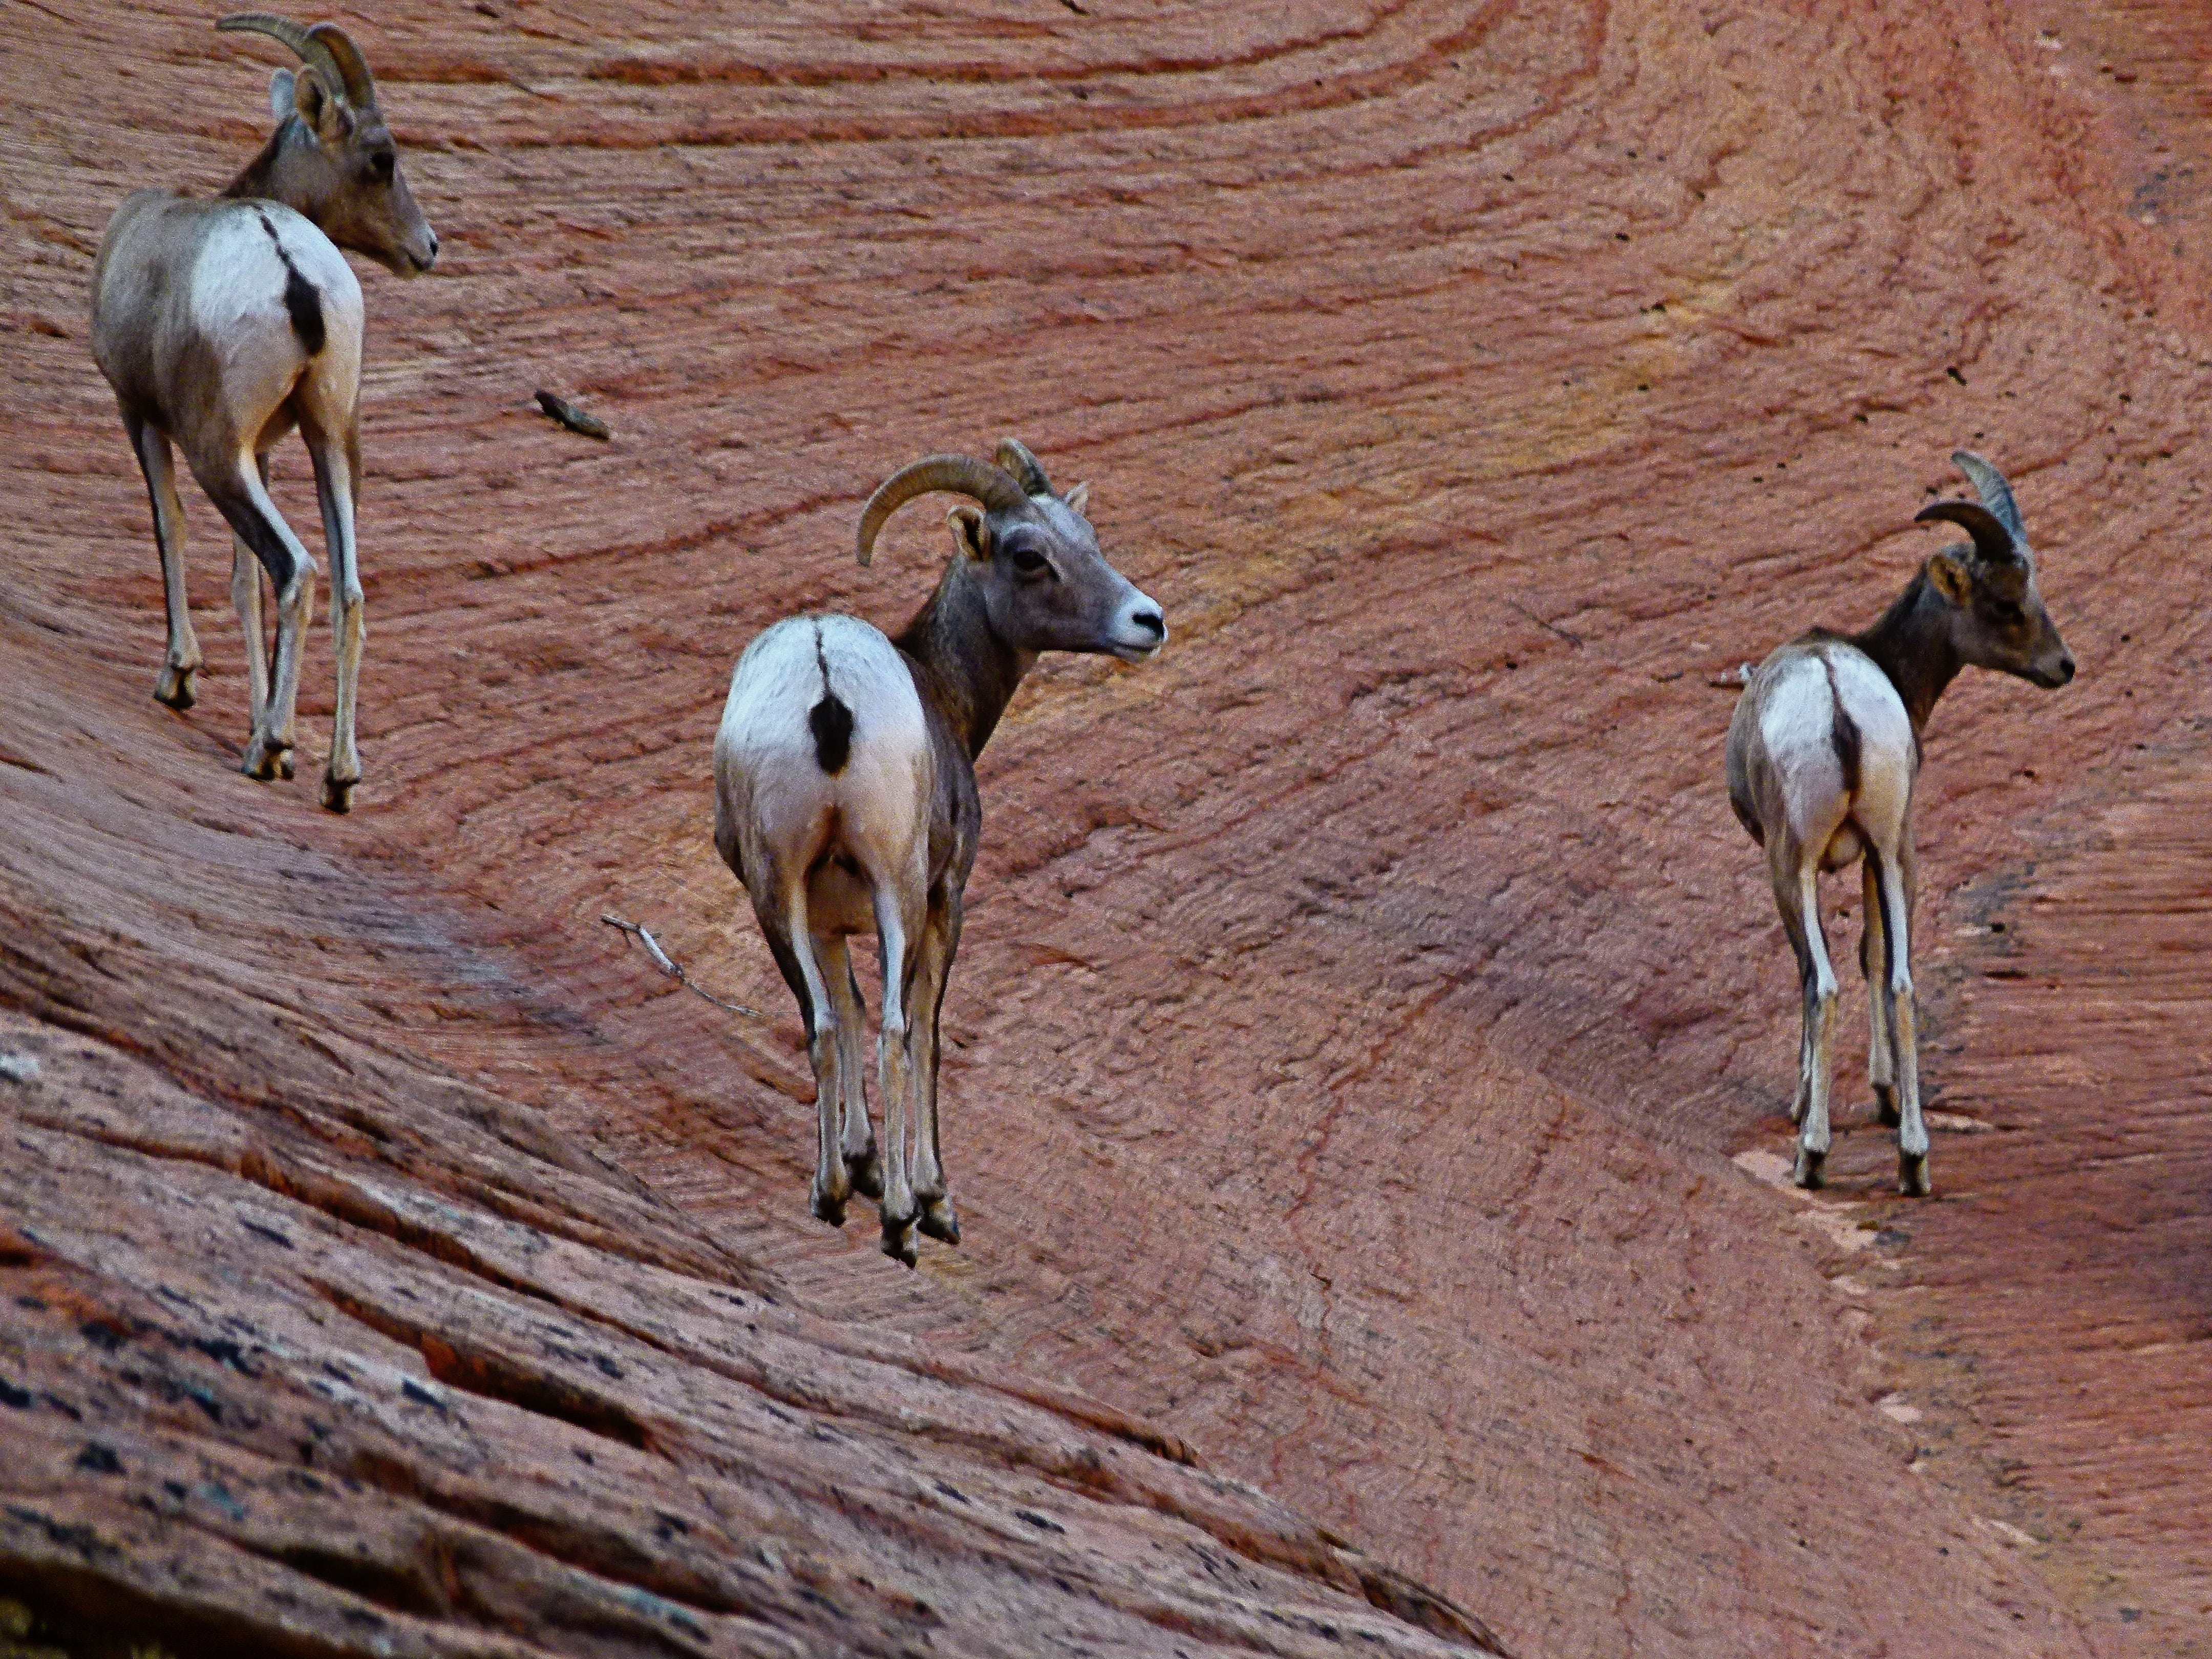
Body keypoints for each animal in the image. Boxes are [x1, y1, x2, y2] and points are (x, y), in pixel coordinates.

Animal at [90, 14, 437, 812]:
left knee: (298, 569)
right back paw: (337, 777)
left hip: (218, 455)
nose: (428, 248)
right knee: (347, 588)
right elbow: (244, 585)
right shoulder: (271, 447)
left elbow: (172, 529)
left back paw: (269, 747)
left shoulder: (141, 415)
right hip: (332, 441)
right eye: (382, 160)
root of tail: (291, 272)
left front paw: (180, 679)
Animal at [714, 441, 1167, 1264]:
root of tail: (825, 676)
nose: (1147, 621)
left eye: (1090, 540)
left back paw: (829, 1195)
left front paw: (859, 1163)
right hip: (896, 883)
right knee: (898, 1030)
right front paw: (932, 1199)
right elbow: (923, 1028)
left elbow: (846, 1012)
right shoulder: (944, 896)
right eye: (1029, 556)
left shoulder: (826, 918)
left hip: (774, 892)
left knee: (821, 1025)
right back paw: (901, 1221)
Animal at [1726, 451, 2074, 1195]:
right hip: (1896, 852)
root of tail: (1837, 704)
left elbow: (1820, 971)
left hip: (1792, 864)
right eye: (2008, 603)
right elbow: (1878, 957)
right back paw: (1914, 1159)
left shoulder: (1819, 863)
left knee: (1820, 983)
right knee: (1906, 983)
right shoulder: (1875, 852)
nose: (2064, 667)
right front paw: (1885, 1100)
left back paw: (1812, 1154)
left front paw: (1806, 1104)